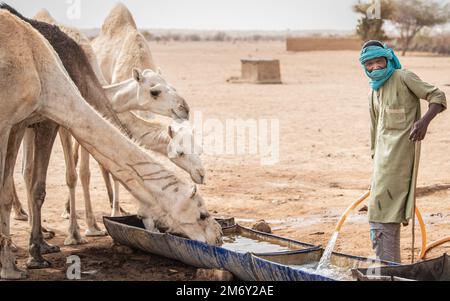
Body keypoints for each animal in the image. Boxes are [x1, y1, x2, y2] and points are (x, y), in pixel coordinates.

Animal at [0, 7, 221, 278]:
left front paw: (41, 245)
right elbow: (69, 176)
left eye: (199, 147)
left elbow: (36, 178)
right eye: (202, 214)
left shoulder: (33, 121)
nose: (184, 108)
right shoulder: (40, 122)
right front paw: (71, 236)